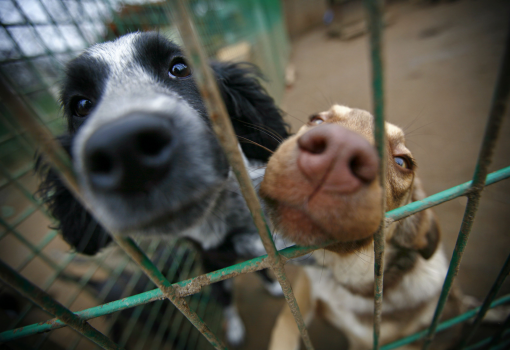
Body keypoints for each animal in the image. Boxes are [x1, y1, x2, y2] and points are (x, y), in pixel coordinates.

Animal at [258, 104, 462, 350]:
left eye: (402, 162)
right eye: (317, 120)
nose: (339, 149)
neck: (343, 279)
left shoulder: (364, 342)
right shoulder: (306, 289)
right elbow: (287, 324)